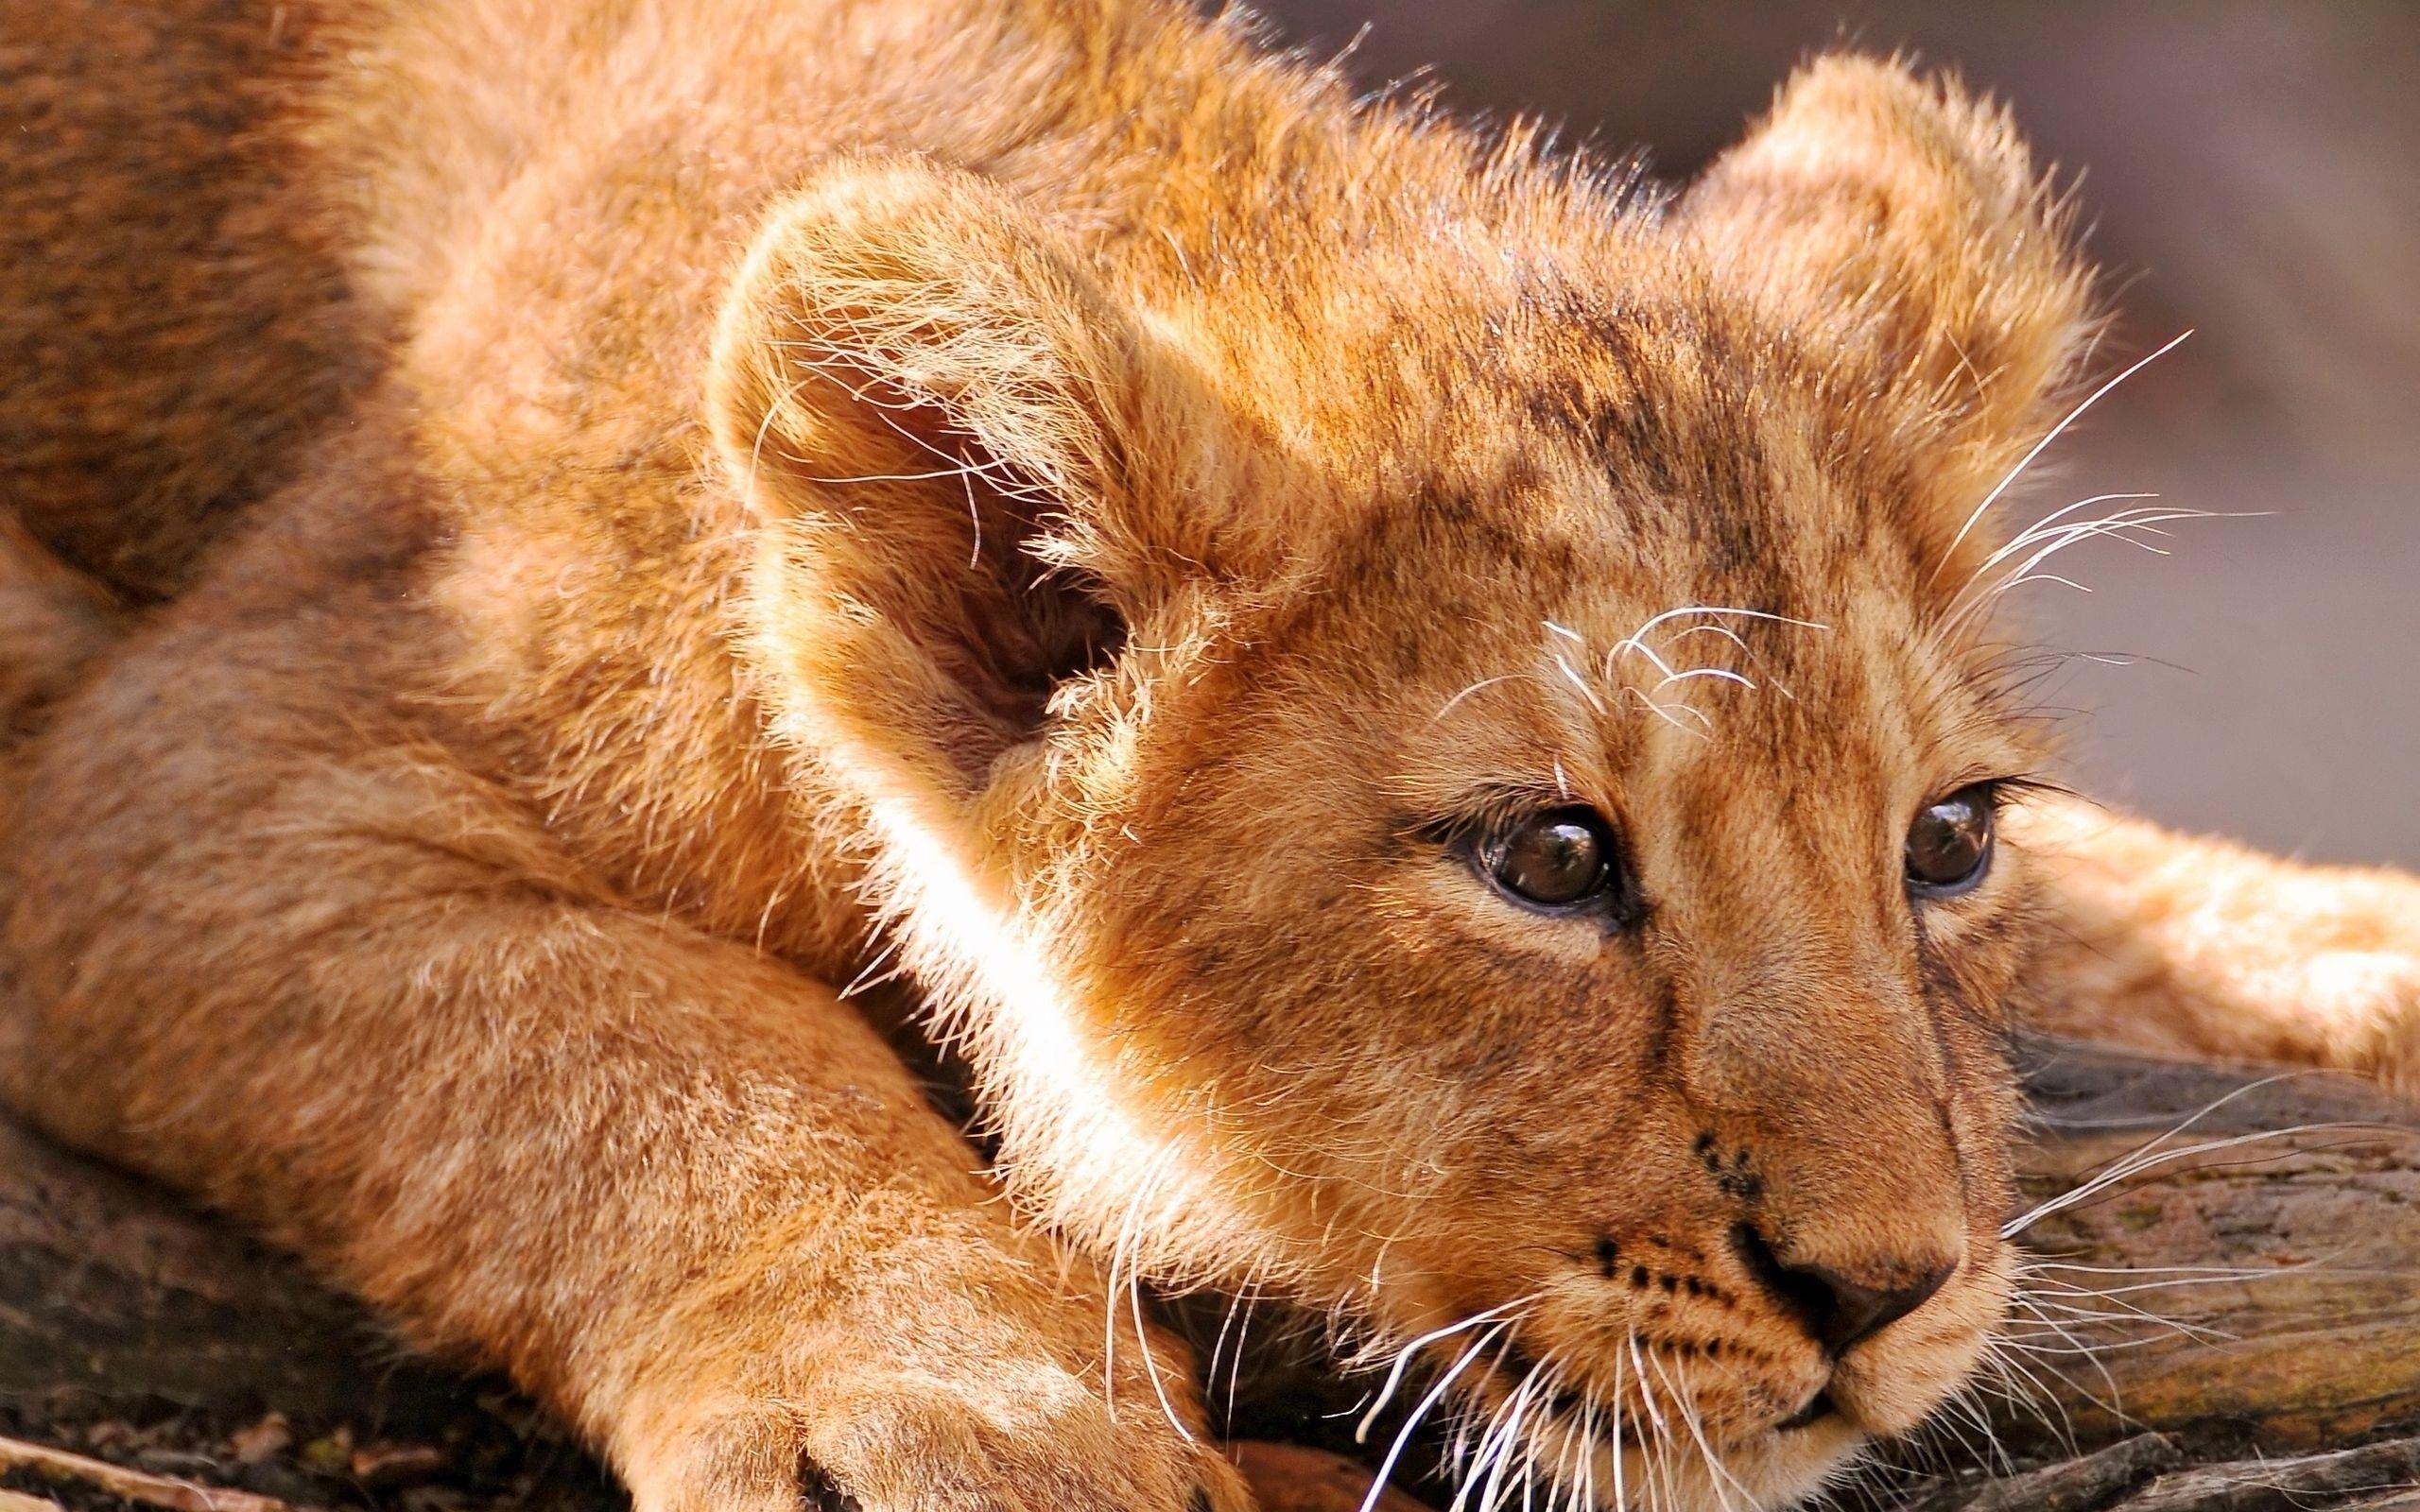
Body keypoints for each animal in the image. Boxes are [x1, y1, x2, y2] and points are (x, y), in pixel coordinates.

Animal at [3, 1, 2416, 1509]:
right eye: (1548, 858)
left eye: (1943, 840)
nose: (1887, 1291)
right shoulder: (193, 764)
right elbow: (614, 1027)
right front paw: (955, 1404)